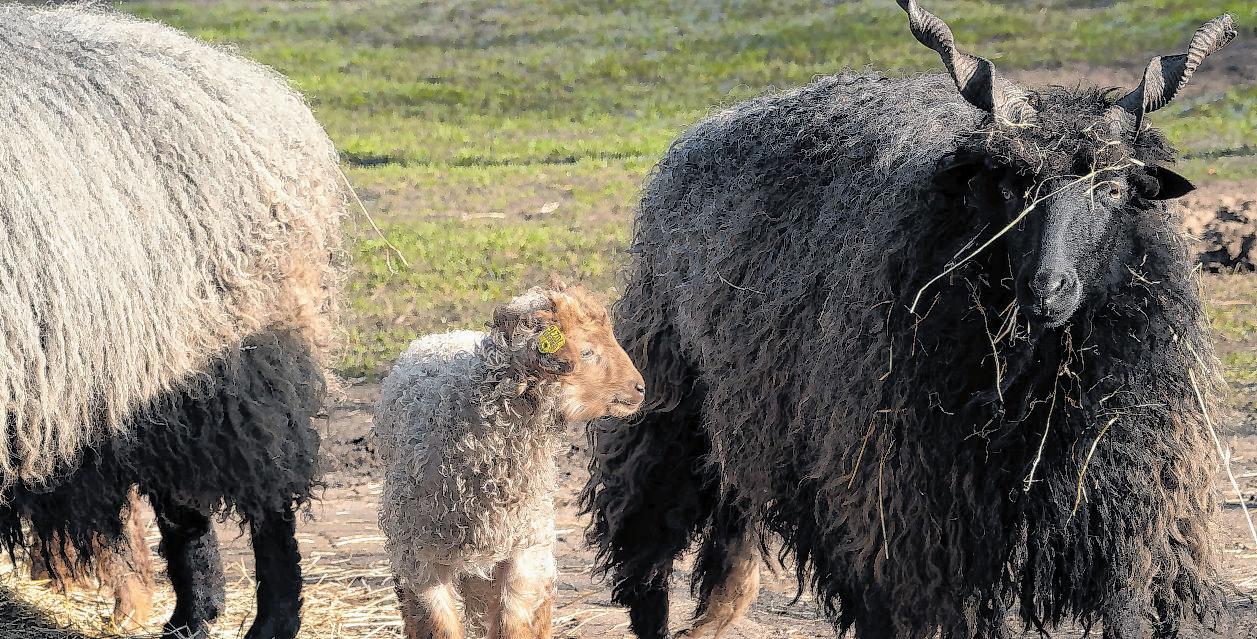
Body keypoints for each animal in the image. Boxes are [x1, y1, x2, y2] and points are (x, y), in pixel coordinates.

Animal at [376, 282, 645, 639]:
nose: (640, 387)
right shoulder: (419, 560)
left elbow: (514, 624)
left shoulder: (524, 551)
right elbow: (441, 626)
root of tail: (448, 333)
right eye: (587, 351)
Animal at [582, 3, 1239, 638]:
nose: (1047, 289)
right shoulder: (916, 524)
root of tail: (707, 126)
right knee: (648, 551)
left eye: (1115, 189)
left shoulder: (1126, 522)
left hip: (750, 422)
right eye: (1009, 185)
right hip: (671, 403)